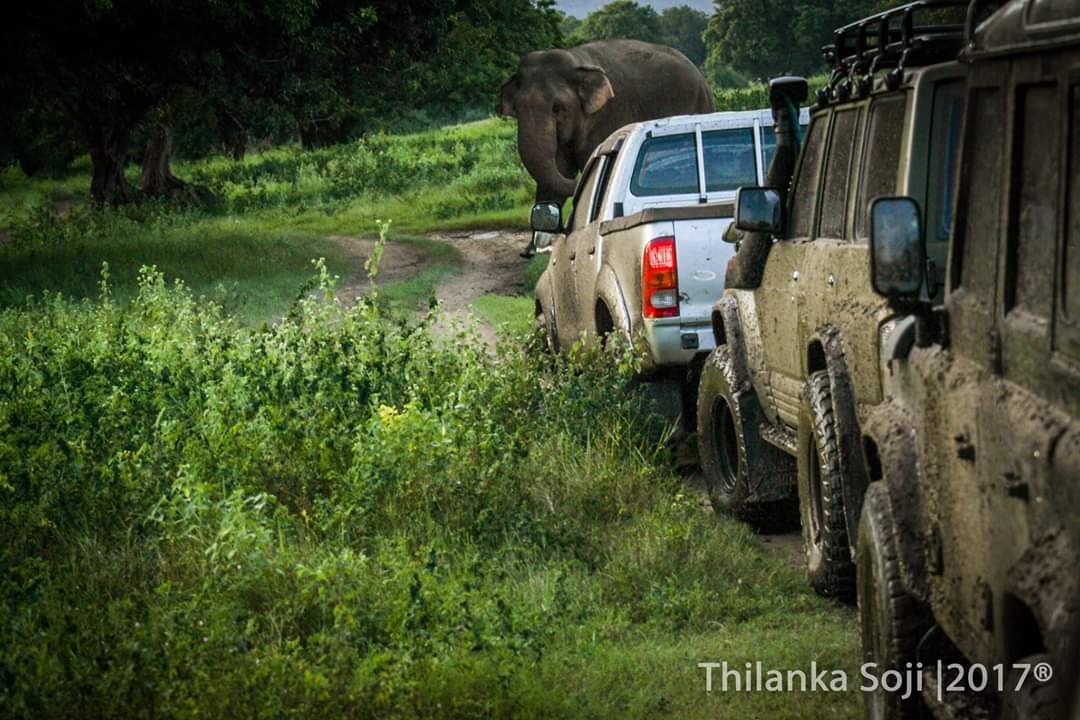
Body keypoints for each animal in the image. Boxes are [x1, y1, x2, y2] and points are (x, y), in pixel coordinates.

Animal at [498, 38, 717, 205]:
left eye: (557, 108)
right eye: (516, 108)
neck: (577, 61)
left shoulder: (608, 115)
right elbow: (558, 171)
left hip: (700, 102)